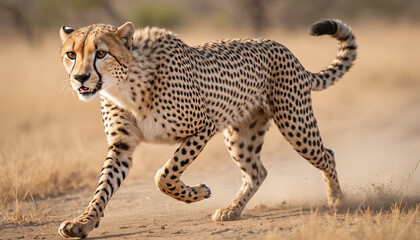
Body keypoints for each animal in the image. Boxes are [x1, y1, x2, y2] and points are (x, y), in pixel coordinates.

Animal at [57, 19, 356, 238]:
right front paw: (82, 222)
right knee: (257, 172)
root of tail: (284, 49)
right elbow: (102, 189)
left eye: (101, 53)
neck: (126, 85)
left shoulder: (203, 127)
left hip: (294, 123)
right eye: (71, 54)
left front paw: (198, 193)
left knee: (327, 155)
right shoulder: (122, 147)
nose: (80, 78)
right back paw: (232, 210)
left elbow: (164, 175)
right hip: (241, 135)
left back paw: (338, 202)